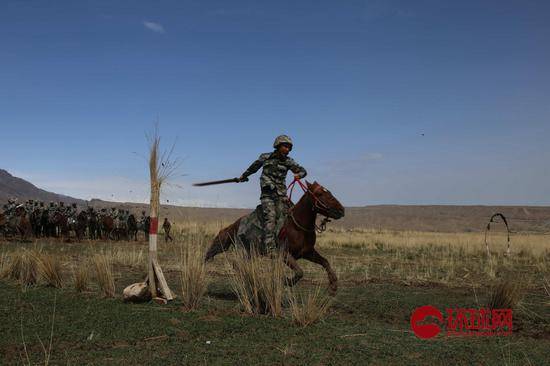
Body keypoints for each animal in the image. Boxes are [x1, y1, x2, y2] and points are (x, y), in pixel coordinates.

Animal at [205, 181, 348, 294]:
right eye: (319, 194)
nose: (341, 210)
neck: (298, 227)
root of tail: (236, 223)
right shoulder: (284, 254)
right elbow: (300, 272)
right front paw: (287, 281)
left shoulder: (307, 252)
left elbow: (325, 262)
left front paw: (333, 286)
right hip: (243, 250)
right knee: (235, 263)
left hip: (252, 253)